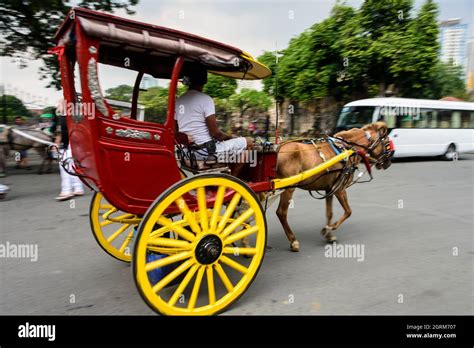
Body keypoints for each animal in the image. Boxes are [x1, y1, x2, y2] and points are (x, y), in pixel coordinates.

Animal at [274, 121, 392, 251]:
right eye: (387, 143)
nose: (388, 163)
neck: (347, 149)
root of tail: (278, 148)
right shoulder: (339, 189)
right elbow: (348, 211)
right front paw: (328, 229)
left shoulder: (329, 189)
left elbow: (329, 213)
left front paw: (329, 235)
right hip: (288, 188)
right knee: (281, 212)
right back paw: (293, 241)